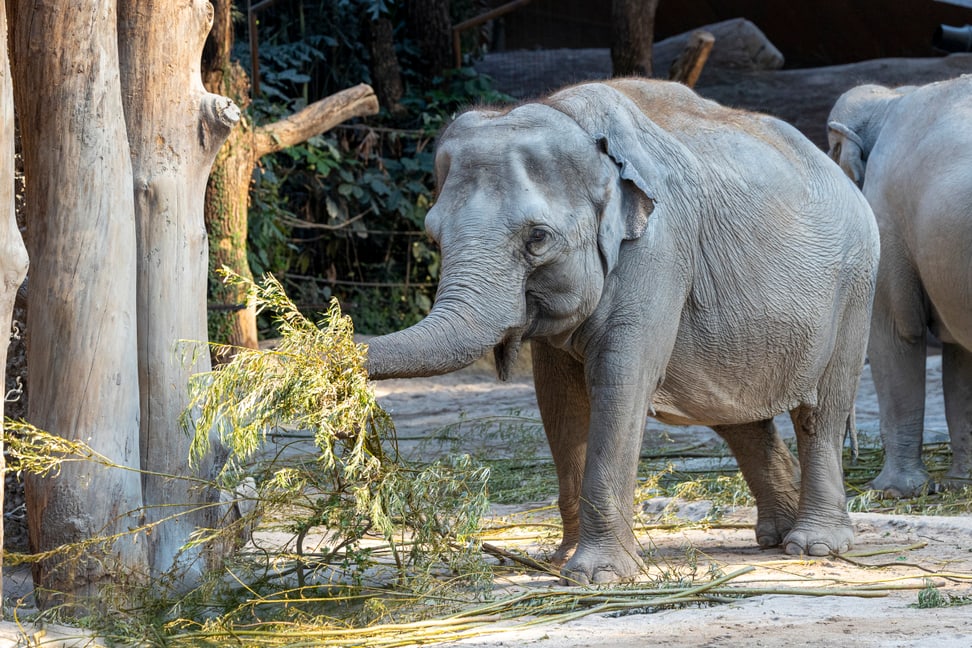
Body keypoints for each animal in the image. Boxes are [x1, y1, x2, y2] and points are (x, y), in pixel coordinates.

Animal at [367, 78, 880, 585]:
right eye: (434, 237)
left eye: (538, 238)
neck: (569, 118)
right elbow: (558, 399)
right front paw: (563, 563)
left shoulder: (658, 249)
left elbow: (620, 382)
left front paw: (599, 577)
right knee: (738, 416)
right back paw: (776, 536)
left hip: (855, 287)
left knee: (822, 411)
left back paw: (813, 545)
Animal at [827, 77, 972, 497]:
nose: (853, 457)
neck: (892, 96)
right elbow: (960, 358)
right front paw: (958, 483)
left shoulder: (886, 219)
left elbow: (895, 335)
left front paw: (894, 491)